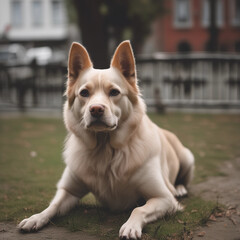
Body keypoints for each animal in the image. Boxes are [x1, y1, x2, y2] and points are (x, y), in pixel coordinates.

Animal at [17, 40, 194, 239]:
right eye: (84, 93)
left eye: (114, 92)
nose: (96, 109)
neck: (105, 149)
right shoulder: (68, 191)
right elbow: (52, 205)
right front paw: (35, 218)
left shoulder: (164, 198)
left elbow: (139, 209)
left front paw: (130, 226)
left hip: (188, 158)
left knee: (182, 180)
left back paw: (180, 188)